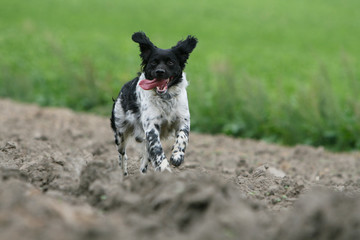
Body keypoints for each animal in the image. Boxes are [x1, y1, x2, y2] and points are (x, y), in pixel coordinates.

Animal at [111, 31, 198, 174]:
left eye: (170, 62)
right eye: (153, 63)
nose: (160, 72)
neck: (165, 98)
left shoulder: (183, 120)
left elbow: (182, 138)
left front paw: (177, 156)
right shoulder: (151, 126)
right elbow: (157, 149)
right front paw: (164, 168)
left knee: (144, 160)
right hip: (121, 132)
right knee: (122, 154)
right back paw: (123, 173)